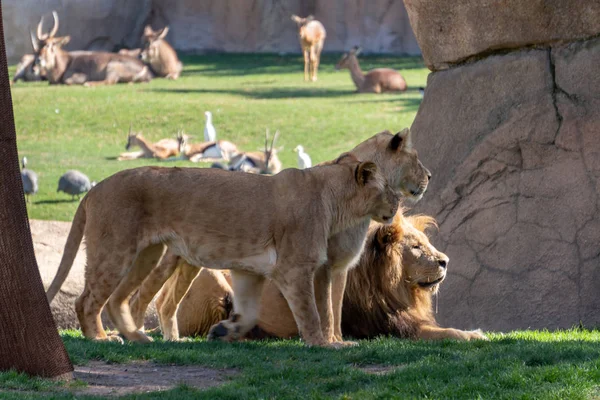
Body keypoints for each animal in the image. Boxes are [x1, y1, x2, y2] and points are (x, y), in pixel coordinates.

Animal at [45, 153, 398, 346]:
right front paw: (322, 344)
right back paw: (100, 338)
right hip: (116, 249)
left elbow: (250, 311)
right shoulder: (295, 267)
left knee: (118, 299)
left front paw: (224, 330)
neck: (333, 199)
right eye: (389, 189)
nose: (398, 204)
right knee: (87, 300)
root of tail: (95, 189)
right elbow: (310, 311)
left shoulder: (249, 271)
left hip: (146, 253)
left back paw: (136, 337)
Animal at [127, 129, 432, 344]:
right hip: (162, 259)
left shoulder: (340, 266)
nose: (430, 175)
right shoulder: (325, 264)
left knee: (165, 302)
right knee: (138, 296)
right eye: (417, 158)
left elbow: (335, 305)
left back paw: (173, 339)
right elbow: (327, 308)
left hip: (189, 262)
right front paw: (329, 341)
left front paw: (337, 340)